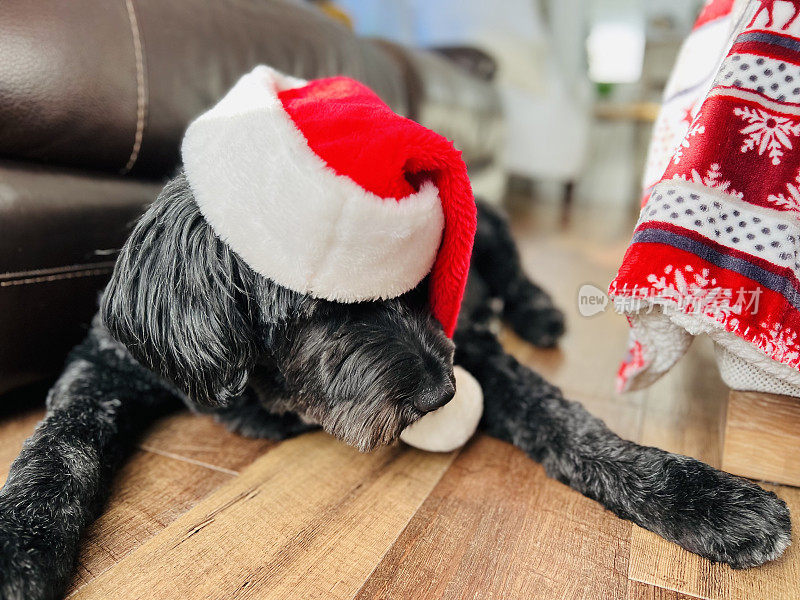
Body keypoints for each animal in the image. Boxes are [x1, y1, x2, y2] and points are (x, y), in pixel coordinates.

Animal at [0, 171, 792, 596]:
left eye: (425, 276)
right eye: (338, 293)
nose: (443, 394)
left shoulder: (472, 348)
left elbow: (565, 420)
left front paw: (700, 496)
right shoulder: (104, 365)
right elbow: (57, 449)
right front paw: (19, 544)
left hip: (493, 234)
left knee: (516, 273)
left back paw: (537, 313)